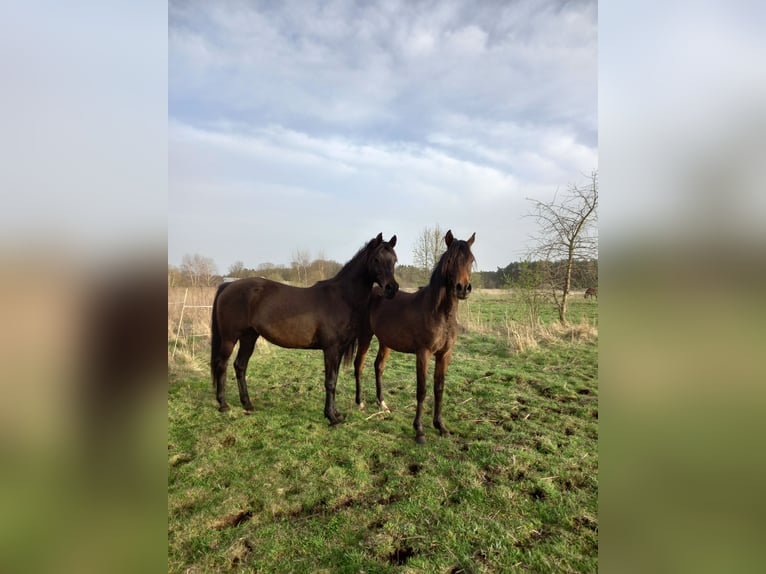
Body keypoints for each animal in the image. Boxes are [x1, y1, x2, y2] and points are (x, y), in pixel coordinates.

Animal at [212, 232, 402, 426]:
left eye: (394, 260)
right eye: (377, 259)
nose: (392, 288)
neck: (342, 297)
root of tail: (228, 286)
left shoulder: (339, 350)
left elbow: (334, 380)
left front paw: (336, 414)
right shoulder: (331, 349)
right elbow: (330, 382)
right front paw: (331, 417)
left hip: (249, 336)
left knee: (240, 366)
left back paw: (247, 404)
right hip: (230, 338)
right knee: (222, 364)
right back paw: (223, 404)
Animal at [354, 230, 474, 446]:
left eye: (471, 260)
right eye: (451, 260)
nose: (463, 288)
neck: (440, 313)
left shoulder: (445, 354)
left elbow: (439, 388)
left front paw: (441, 427)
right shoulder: (423, 353)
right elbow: (422, 390)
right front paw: (419, 431)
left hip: (385, 342)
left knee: (378, 366)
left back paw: (382, 404)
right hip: (365, 335)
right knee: (359, 364)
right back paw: (360, 403)